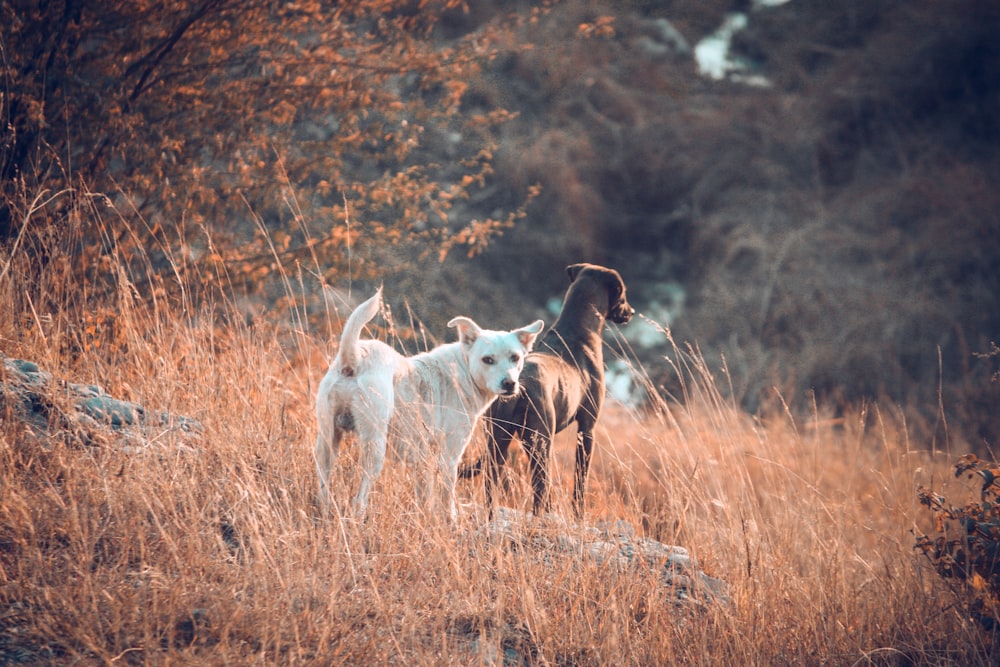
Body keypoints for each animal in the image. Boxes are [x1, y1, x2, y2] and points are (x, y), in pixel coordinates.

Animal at [314, 288, 544, 520]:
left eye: (515, 357)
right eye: (487, 359)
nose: (509, 384)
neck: (463, 370)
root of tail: (354, 359)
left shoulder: (421, 458)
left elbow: (424, 494)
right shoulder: (450, 455)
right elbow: (447, 495)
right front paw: (450, 520)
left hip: (327, 441)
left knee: (323, 484)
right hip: (374, 447)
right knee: (359, 499)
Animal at [462, 264, 632, 520]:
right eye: (623, 292)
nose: (631, 312)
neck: (578, 332)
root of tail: (516, 385)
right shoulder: (587, 429)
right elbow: (580, 481)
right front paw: (579, 517)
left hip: (499, 443)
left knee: (493, 487)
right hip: (540, 444)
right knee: (540, 490)